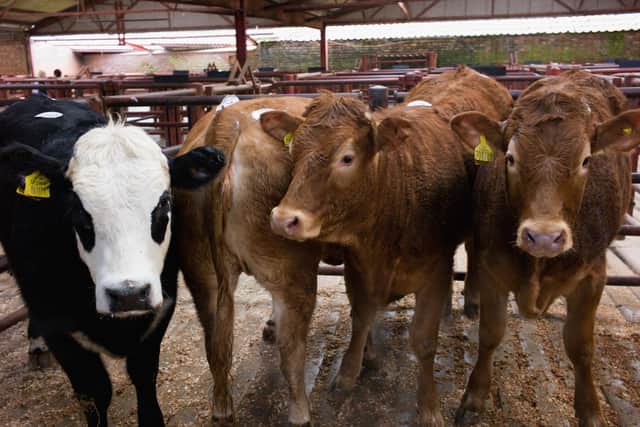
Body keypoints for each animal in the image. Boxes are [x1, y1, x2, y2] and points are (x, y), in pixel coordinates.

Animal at [0, 94, 225, 427]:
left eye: (164, 204)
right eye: (79, 211)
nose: (128, 293)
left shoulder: (159, 309)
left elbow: (144, 379)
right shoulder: (58, 327)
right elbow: (95, 392)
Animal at [172, 96, 325, 425]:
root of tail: (227, 120)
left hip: (201, 272)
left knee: (216, 345)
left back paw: (221, 408)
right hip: (295, 270)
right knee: (291, 350)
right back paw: (301, 412)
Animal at [261, 65, 513, 425]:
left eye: (347, 158)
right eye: (293, 151)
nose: (284, 219)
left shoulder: (434, 270)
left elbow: (423, 340)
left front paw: (429, 407)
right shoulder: (358, 266)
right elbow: (361, 316)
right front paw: (350, 370)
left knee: (474, 254)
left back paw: (470, 302)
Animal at [449, 70, 640, 426]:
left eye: (586, 160)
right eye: (510, 158)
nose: (543, 237)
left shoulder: (593, 276)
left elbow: (581, 346)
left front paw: (590, 410)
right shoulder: (492, 269)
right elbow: (490, 333)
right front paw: (474, 398)